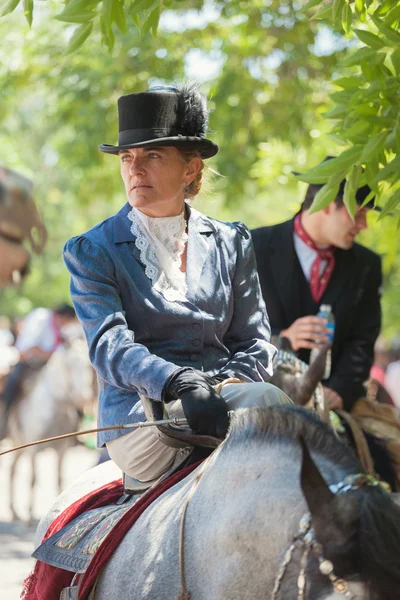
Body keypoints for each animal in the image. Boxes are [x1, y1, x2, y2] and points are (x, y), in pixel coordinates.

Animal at [6, 328, 95, 524]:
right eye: (69, 365)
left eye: (88, 366)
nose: (84, 399)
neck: (55, 408)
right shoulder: (33, 449)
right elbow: (33, 479)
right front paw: (30, 516)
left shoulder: (62, 448)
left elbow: (59, 478)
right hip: (19, 444)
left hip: (19, 446)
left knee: (13, 469)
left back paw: (14, 512)